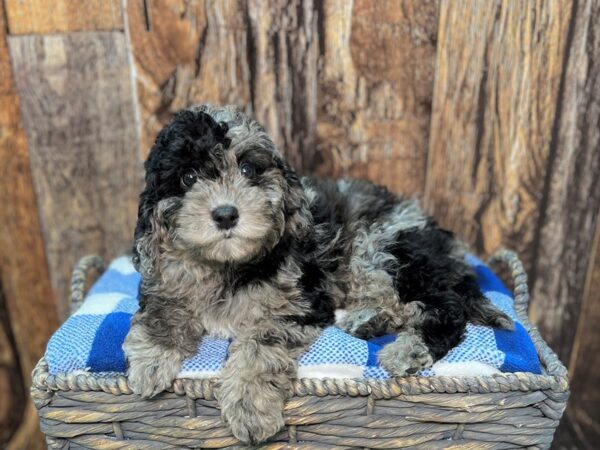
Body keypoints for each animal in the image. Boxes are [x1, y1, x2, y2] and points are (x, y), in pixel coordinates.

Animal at [123, 103, 510, 444]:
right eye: (188, 177)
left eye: (248, 170)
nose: (225, 214)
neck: (228, 264)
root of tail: (447, 247)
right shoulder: (166, 280)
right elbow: (161, 310)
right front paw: (150, 364)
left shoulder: (297, 303)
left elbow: (259, 346)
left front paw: (249, 406)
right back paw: (367, 321)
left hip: (385, 247)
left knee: (446, 309)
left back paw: (407, 351)